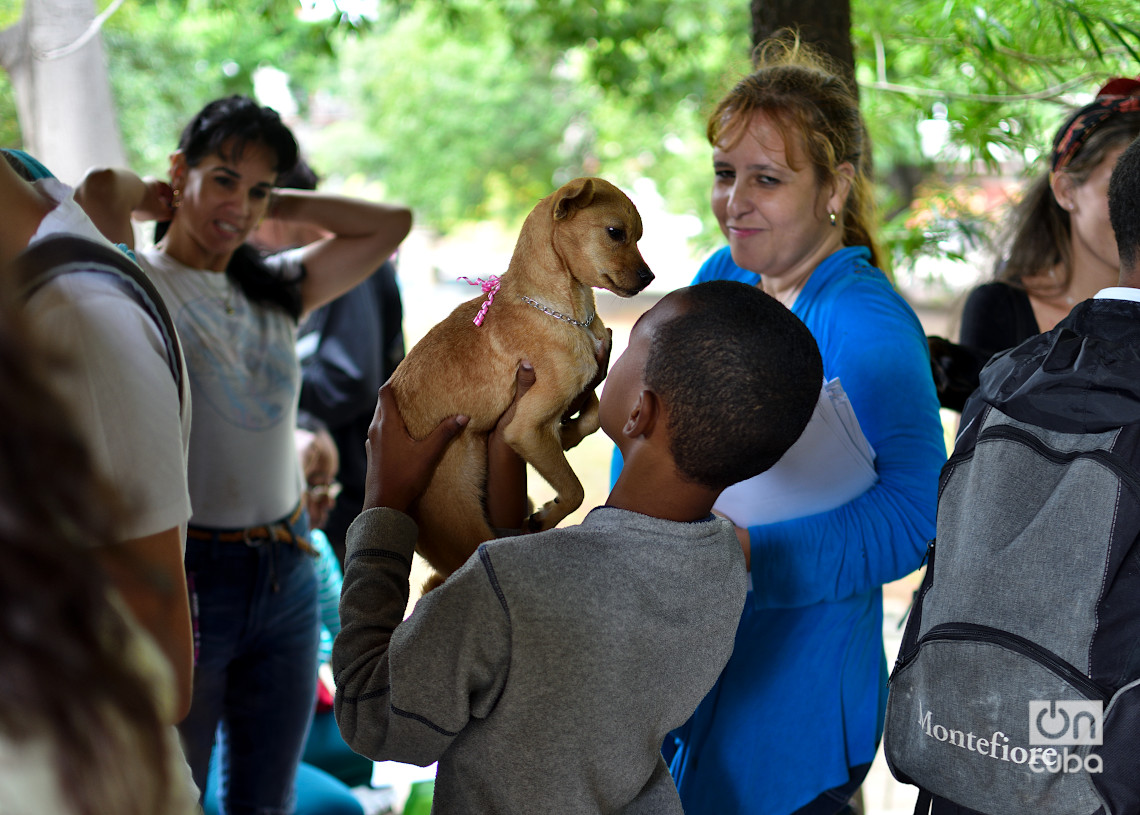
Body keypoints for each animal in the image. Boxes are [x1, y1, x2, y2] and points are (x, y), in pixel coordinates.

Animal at [392, 178, 656, 588]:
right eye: (616, 233)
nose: (650, 278)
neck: (565, 311)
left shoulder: (582, 385)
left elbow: (594, 414)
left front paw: (566, 435)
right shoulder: (525, 425)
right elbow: (575, 489)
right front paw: (549, 514)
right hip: (464, 527)